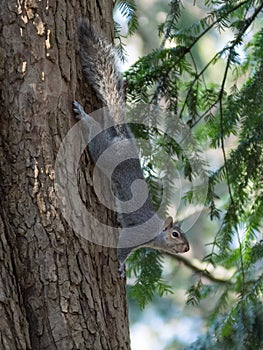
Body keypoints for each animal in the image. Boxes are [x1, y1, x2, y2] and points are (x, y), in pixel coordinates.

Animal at [73, 19, 191, 276]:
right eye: (175, 234)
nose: (187, 248)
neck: (155, 233)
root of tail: (123, 138)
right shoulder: (134, 234)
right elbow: (122, 249)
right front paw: (120, 267)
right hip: (103, 152)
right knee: (94, 135)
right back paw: (83, 114)